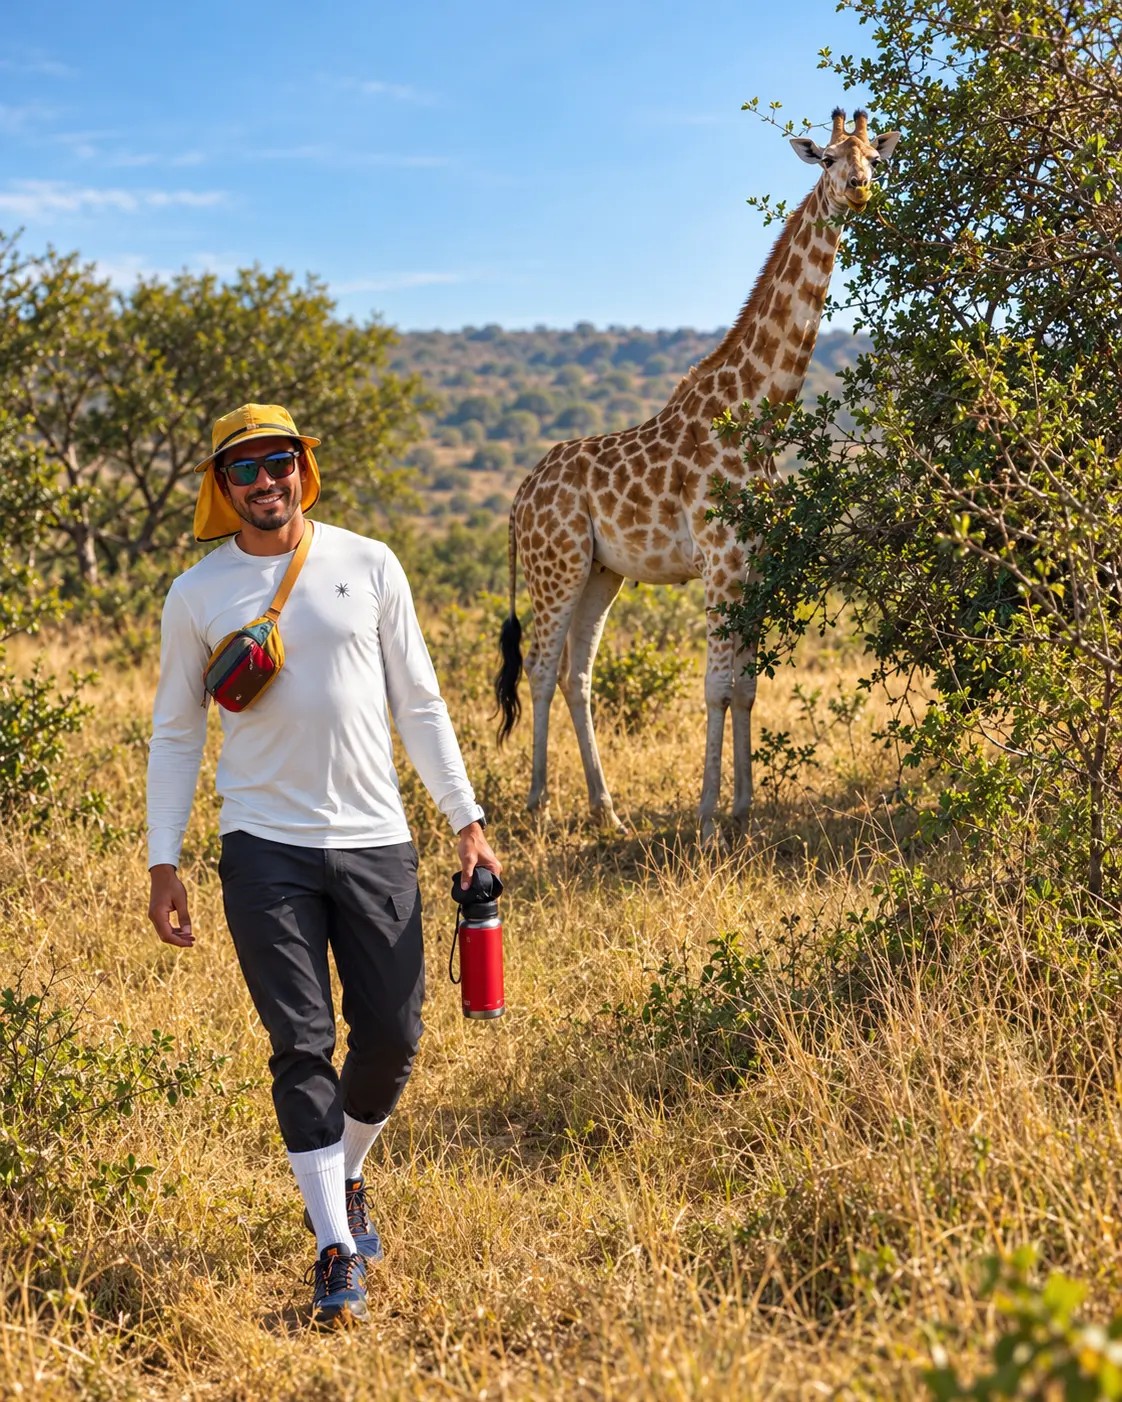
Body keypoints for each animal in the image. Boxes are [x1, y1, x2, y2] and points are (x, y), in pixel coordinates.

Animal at [494, 109, 901, 840]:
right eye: (827, 158)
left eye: (874, 160)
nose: (857, 189)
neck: (759, 411)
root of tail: (518, 498)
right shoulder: (719, 557)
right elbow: (715, 686)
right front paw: (709, 819)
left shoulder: (756, 559)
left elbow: (746, 685)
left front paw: (744, 809)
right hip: (555, 564)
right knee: (539, 668)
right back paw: (539, 804)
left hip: (601, 571)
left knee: (575, 674)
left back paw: (607, 810)